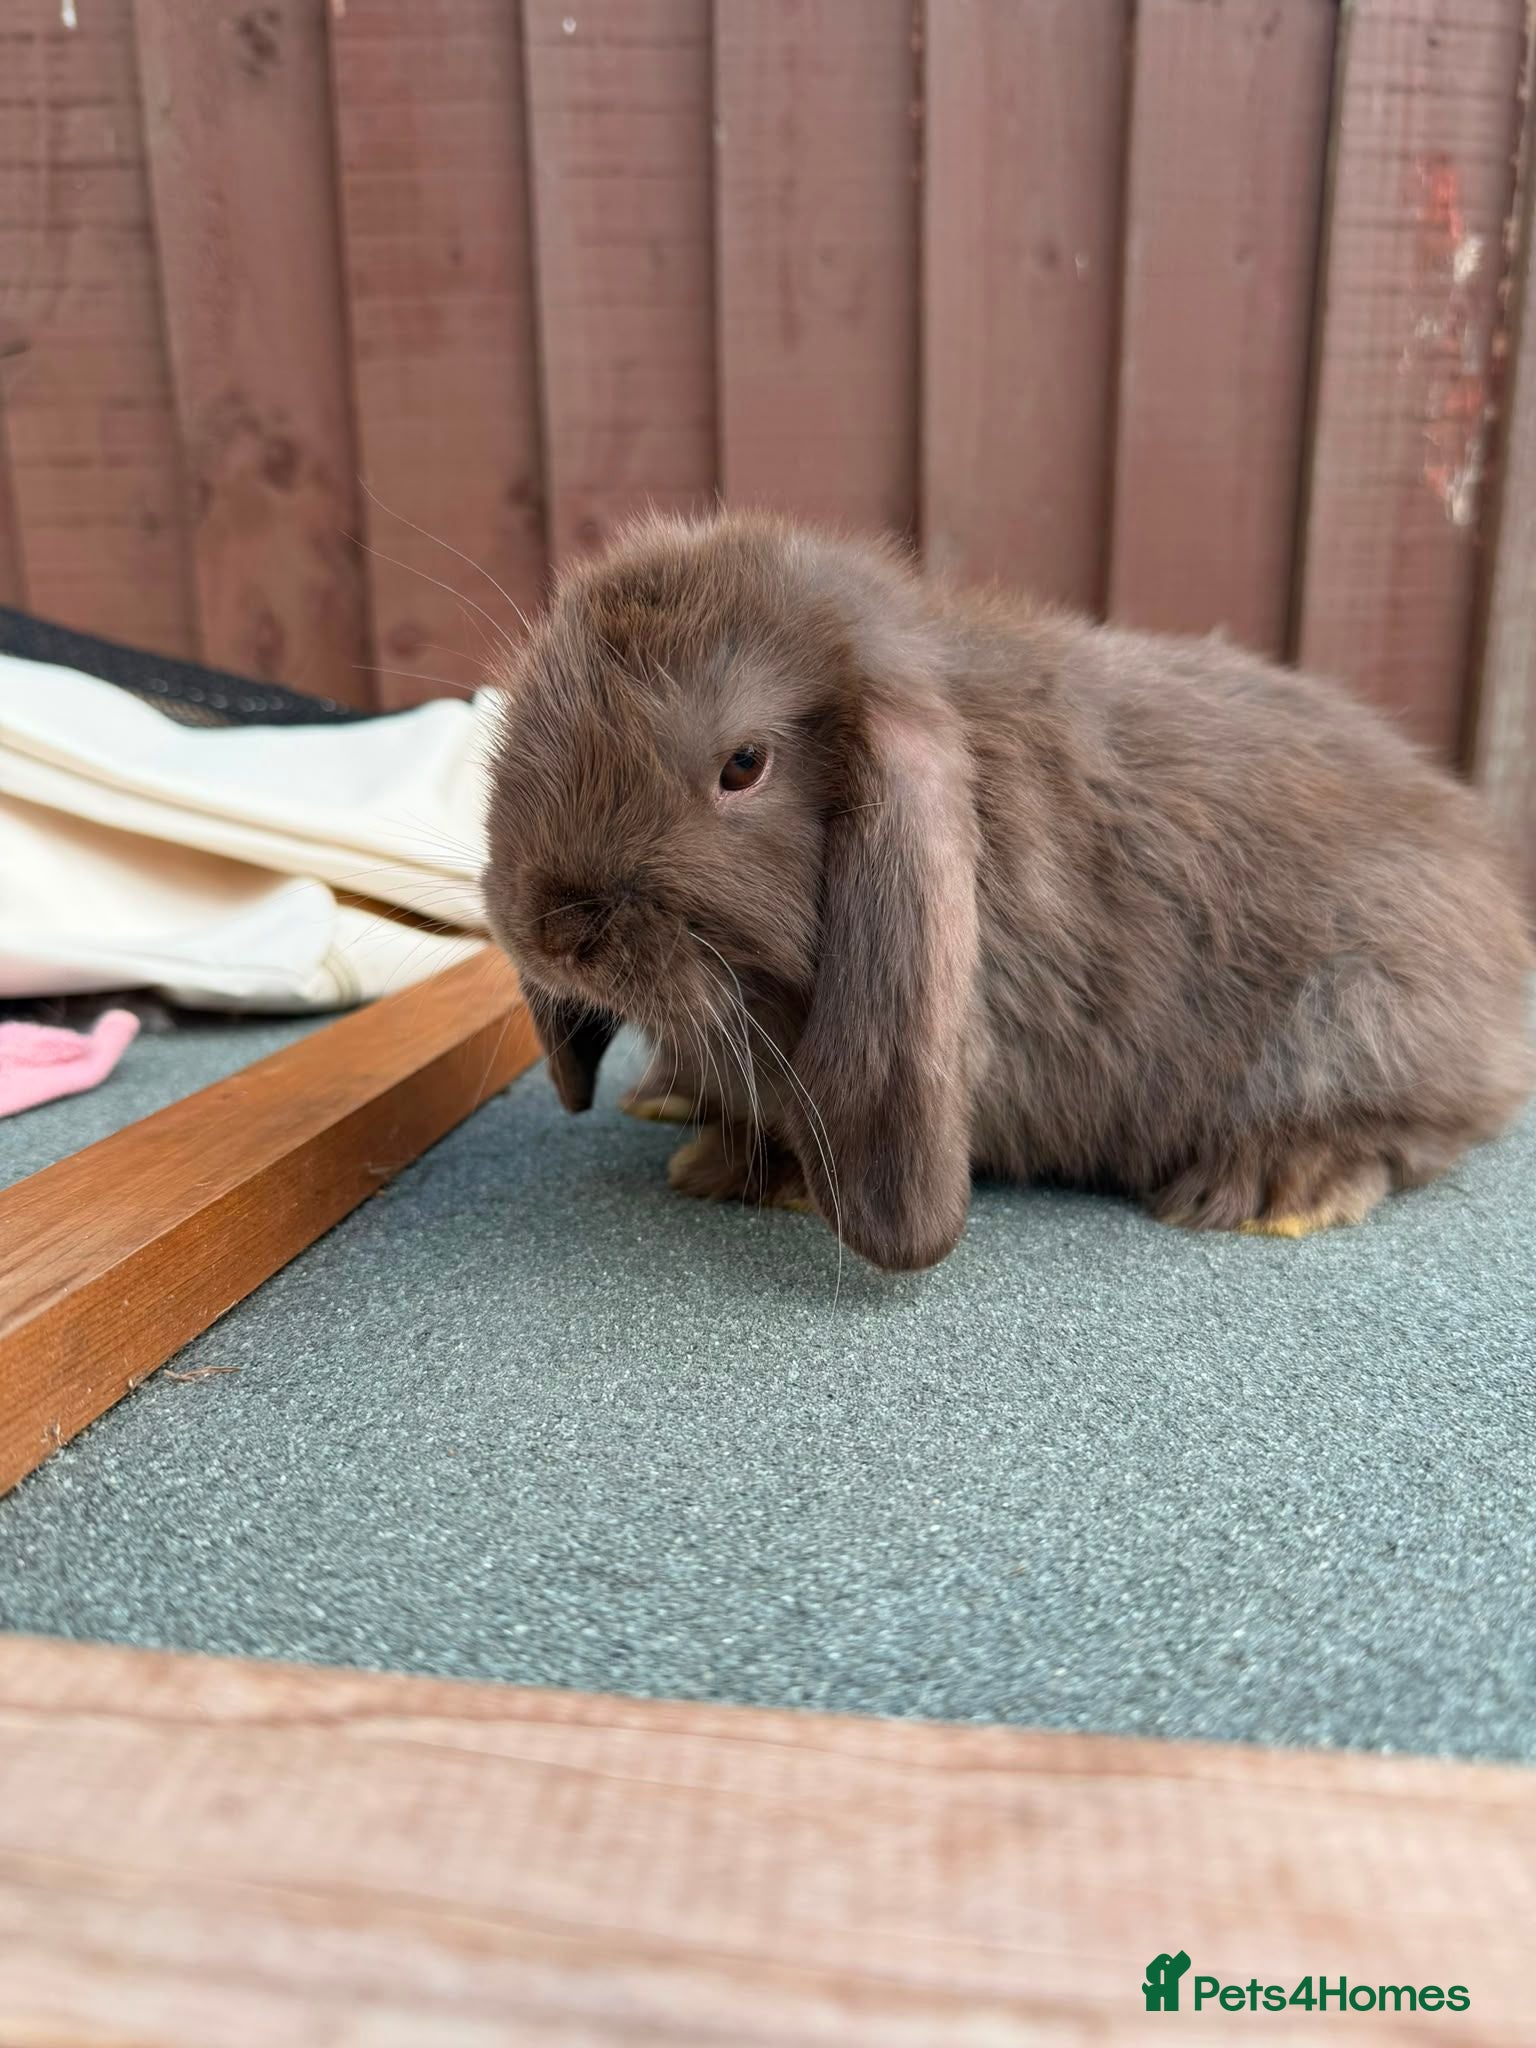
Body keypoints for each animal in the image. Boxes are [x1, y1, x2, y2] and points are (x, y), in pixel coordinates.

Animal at [481, 511, 1533, 1272]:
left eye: (744, 765)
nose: (552, 929)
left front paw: (739, 1170)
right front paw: (692, 1119)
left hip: (1354, 1014)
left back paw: (1277, 1190)